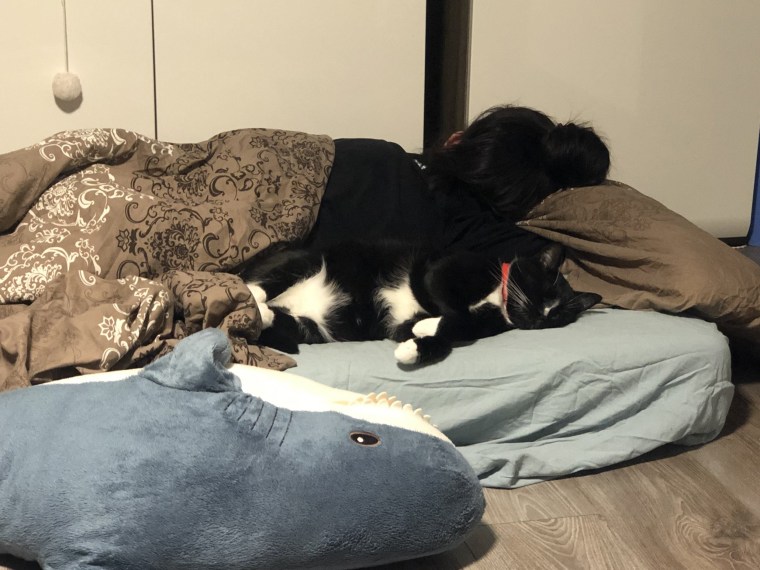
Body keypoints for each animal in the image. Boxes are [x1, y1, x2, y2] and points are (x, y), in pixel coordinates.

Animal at [238, 240, 600, 364]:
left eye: (557, 316)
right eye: (544, 293)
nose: (541, 317)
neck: (497, 299)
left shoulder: (403, 325)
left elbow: (452, 332)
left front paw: (415, 346)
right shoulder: (438, 270)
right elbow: (455, 312)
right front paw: (432, 324)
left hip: (314, 328)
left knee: (281, 322)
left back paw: (265, 315)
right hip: (303, 260)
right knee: (254, 283)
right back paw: (253, 297)